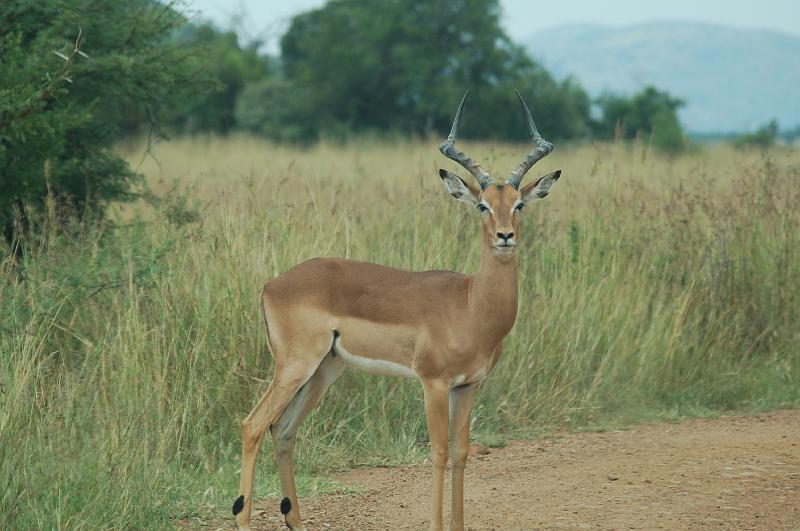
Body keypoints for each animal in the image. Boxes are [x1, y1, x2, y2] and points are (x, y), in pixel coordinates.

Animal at [232, 90, 561, 531]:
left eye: (520, 203)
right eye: (482, 206)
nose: (505, 236)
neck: (471, 305)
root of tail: (272, 284)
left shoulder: (468, 385)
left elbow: (461, 453)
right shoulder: (434, 383)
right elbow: (438, 452)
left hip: (324, 369)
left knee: (283, 430)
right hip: (295, 365)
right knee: (253, 424)